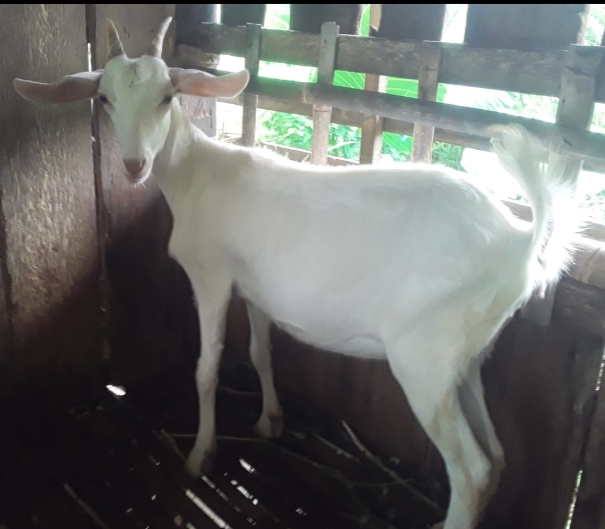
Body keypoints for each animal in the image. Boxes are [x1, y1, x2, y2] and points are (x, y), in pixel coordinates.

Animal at [14, 17, 580, 529]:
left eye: (167, 97)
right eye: (105, 99)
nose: (134, 166)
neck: (196, 174)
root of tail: (519, 239)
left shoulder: (212, 278)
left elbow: (207, 368)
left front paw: (200, 455)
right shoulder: (256, 290)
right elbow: (261, 353)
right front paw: (270, 421)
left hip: (425, 358)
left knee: (473, 470)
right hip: (467, 358)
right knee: (498, 456)